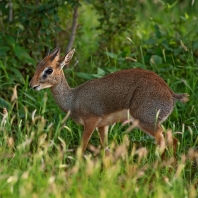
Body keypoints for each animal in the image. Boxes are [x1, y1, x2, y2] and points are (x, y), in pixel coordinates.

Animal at [29, 48, 189, 153]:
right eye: (38, 65)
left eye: (49, 70)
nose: (32, 85)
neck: (73, 98)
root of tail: (170, 94)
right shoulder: (103, 126)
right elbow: (105, 148)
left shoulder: (91, 122)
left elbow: (82, 147)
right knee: (172, 140)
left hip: (145, 121)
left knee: (165, 142)